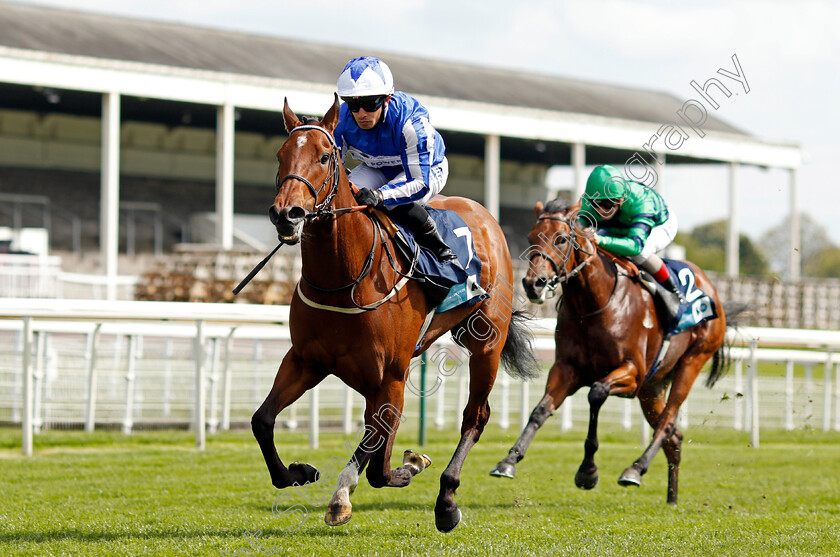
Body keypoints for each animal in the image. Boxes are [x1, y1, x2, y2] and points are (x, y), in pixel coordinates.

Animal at [251, 94, 540, 528]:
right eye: (281, 154)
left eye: (324, 156)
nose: (287, 214)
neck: (345, 280)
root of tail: (486, 216)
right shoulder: (307, 361)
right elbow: (263, 420)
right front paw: (300, 472)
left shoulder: (390, 376)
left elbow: (377, 462)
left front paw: (372, 482)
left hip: (486, 341)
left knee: (475, 416)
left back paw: (447, 500)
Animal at [488, 200, 732, 504]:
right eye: (531, 237)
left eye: (561, 238)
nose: (534, 284)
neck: (595, 305)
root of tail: (712, 288)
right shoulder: (567, 369)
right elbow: (540, 410)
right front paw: (508, 461)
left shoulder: (632, 373)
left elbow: (596, 393)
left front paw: (587, 472)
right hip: (651, 388)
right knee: (674, 436)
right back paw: (671, 497)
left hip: (691, 362)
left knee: (666, 423)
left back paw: (635, 469)